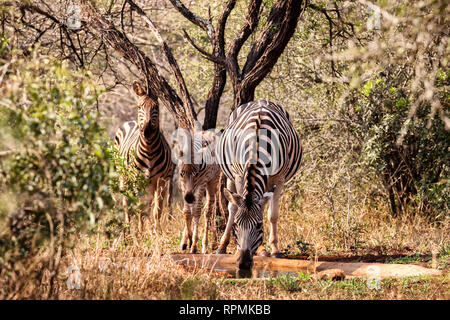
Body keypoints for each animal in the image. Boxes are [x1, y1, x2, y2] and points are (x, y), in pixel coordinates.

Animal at [114, 81, 174, 234]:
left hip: (150, 183)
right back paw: (128, 230)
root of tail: (130, 121)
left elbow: (157, 209)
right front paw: (141, 232)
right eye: (139, 107)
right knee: (126, 203)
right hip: (123, 177)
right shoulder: (138, 179)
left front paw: (156, 232)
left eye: (156, 107)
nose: (147, 131)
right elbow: (140, 208)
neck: (150, 149)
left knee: (149, 205)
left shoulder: (162, 179)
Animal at [215, 100, 302, 270]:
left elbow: (272, 215)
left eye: (258, 226)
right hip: (229, 174)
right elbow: (236, 206)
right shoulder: (238, 174)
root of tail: (261, 100)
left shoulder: (279, 178)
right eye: (236, 225)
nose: (243, 263)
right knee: (232, 207)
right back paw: (222, 246)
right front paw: (236, 249)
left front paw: (275, 249)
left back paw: (262, 249)